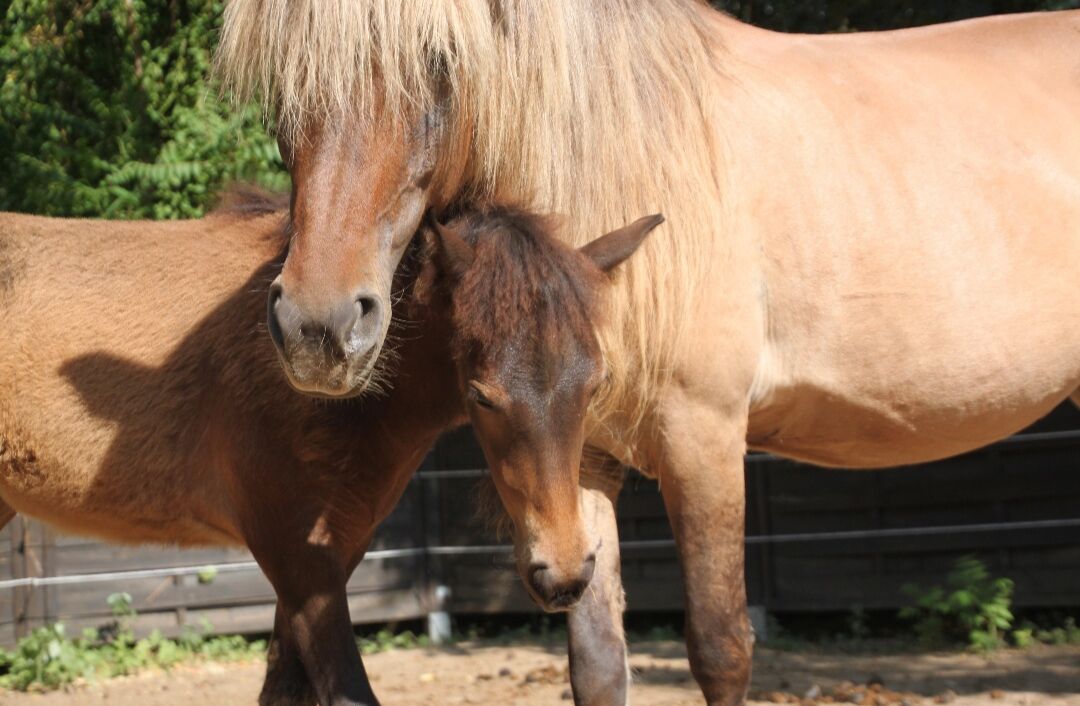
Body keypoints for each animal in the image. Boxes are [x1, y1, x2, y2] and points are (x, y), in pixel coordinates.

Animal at [217, 3, 1080, 705]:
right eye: (284, 87)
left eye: (439, 64)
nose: (319, 325)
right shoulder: (582, 459)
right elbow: (598, 662)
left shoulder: (706, 439)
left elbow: (721, 647)